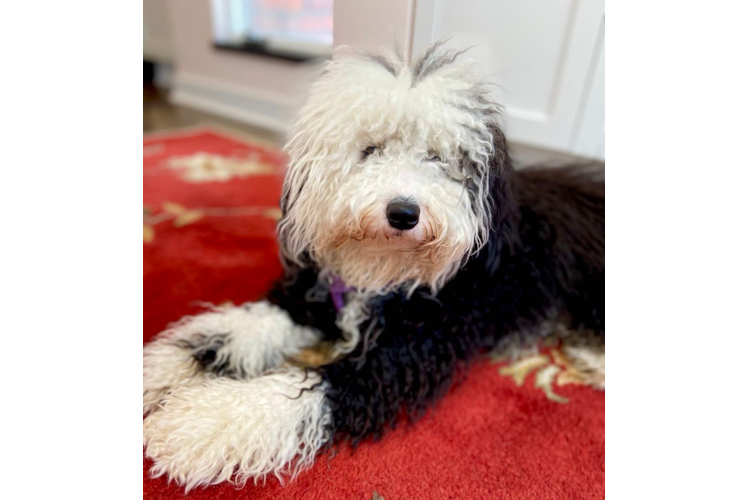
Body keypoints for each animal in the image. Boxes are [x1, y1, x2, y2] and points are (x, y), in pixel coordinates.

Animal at [142, 42, 608, 488]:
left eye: (438, 158)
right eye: (370, 150)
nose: (403, 213)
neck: (380, 273)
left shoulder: (396, 359)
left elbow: (309, 389)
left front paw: (206, 422)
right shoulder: (308, 301)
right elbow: (223, 332)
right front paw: (159, 375)